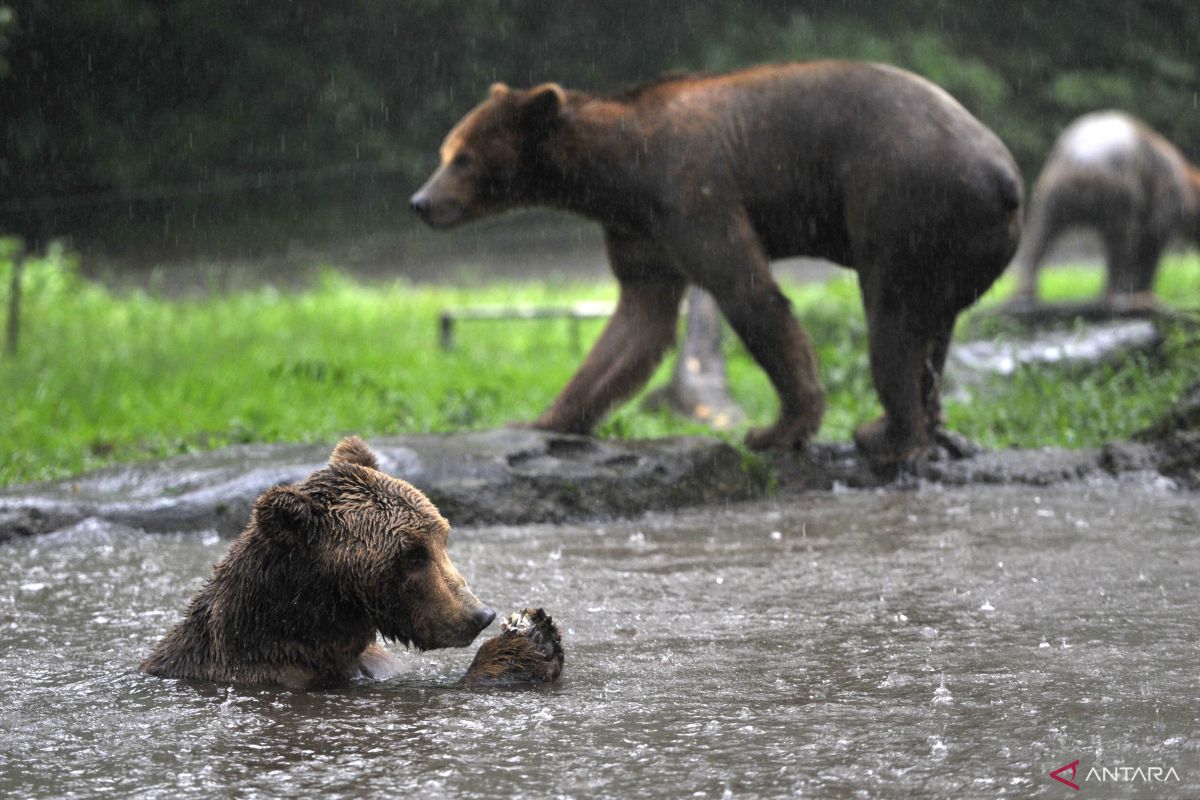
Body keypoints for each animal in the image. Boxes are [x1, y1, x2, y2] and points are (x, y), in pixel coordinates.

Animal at [1012, 110, 1200, 311]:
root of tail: (1083, 163)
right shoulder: (1166, 201)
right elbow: (1150, 245)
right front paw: (1144, 293)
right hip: (1119, 189)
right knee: (1120, 241)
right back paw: (1115, 293)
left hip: (1052, 187)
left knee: (1039, 235)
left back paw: (1024, 294)